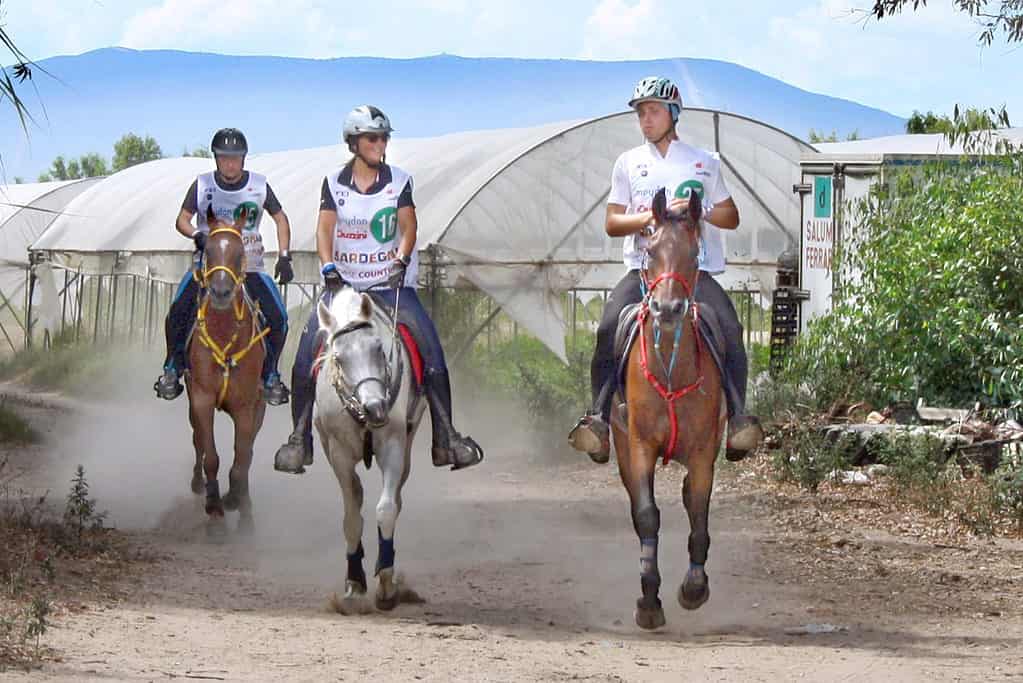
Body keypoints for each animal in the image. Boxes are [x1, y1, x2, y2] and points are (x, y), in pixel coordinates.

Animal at [186, 205, 269, 535]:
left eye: (239, 253)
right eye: (208, 250)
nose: (220, 291)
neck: (224, 336)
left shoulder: (247, 407)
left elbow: (242, 460)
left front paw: (240, 507)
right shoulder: (202, 399)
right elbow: (211, 455)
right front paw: (214, 506)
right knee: (197, 442)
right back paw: (200, 486)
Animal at [313, 286, 426, 611]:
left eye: (378, 348)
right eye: (338, 358)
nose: (375, 408)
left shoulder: (393, 444)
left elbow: (386, 509)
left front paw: (386, 585)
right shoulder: (338, 453)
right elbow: (352, 517)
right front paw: (354, 583)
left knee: (395, 499)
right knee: (357, 495)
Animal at [610, 187, 727, 629]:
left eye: (695, 254)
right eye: (651, 248)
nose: (668, 308)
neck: (671, 368)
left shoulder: (703, 451)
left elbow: (698, 514)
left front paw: (693, 587)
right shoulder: (639, 445)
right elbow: (647, 515)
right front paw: (648, 599)